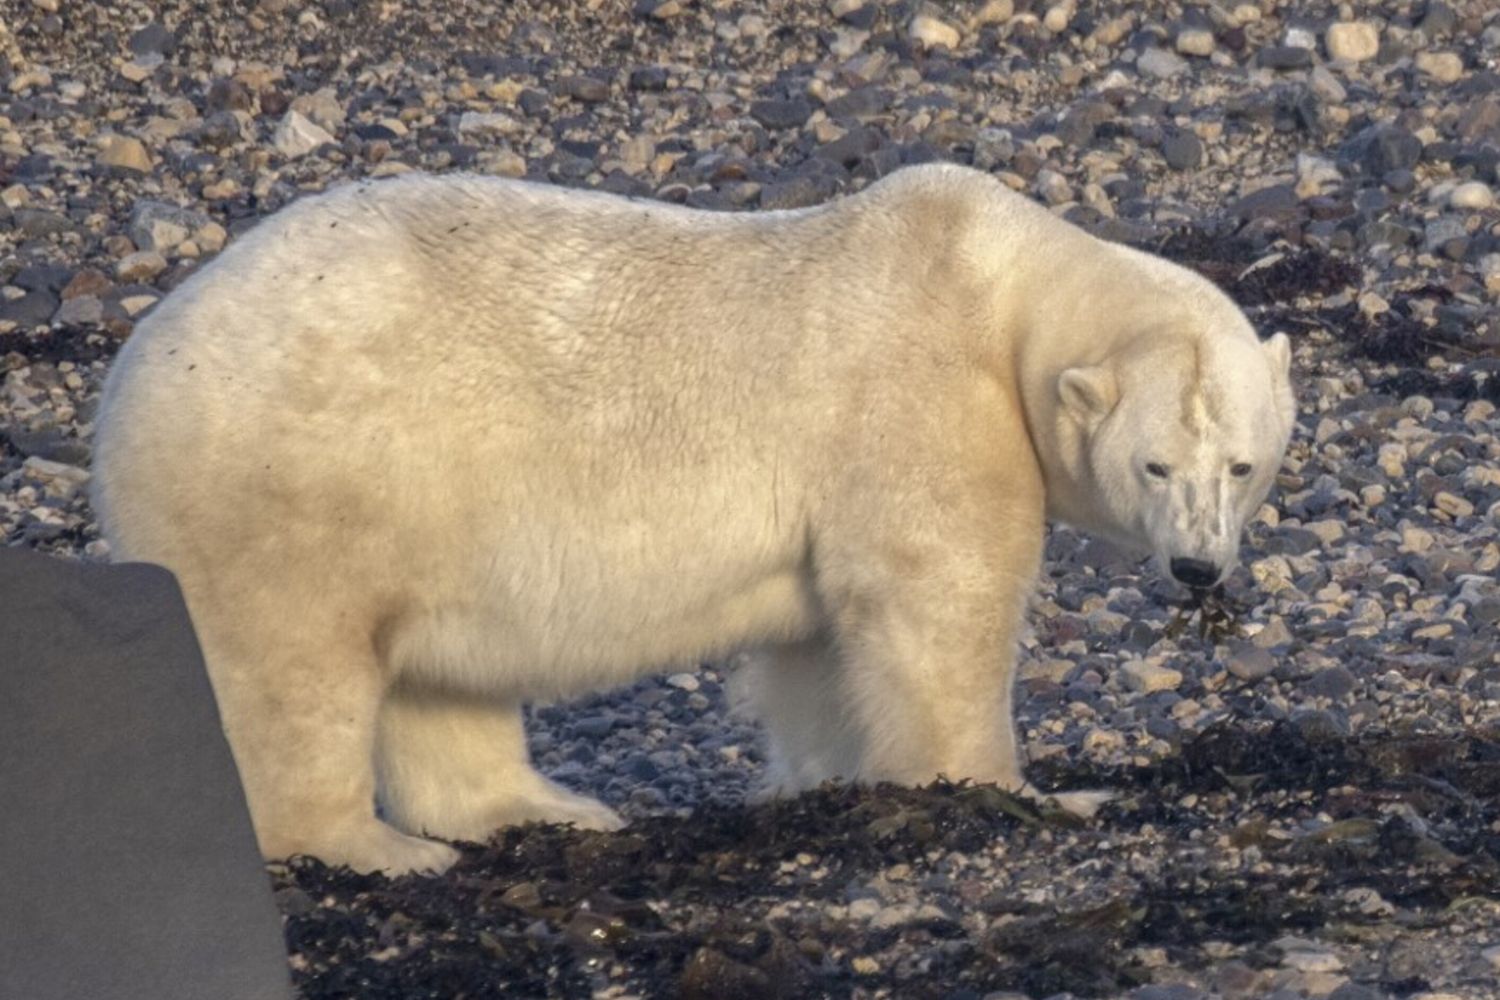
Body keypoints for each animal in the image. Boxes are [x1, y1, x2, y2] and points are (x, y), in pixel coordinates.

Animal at [90, 163, 1296, 875]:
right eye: (1153, 463)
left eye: (1243, 463)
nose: (1199, 570)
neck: (997, 286)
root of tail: (132, 378)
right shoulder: (926, 398)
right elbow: (936, 599)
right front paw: (1020, 789)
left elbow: (823, 648)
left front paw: (828, 777)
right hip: (296, 484)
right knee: (292, 671)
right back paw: (370, 846)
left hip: (423, 506)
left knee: (441, 677)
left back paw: (548, 809)